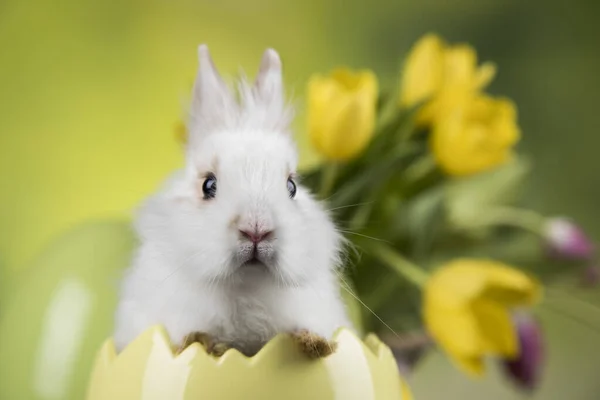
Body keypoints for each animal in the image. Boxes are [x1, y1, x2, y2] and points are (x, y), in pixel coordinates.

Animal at [112, 44, 352, 356]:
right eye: (208, 185)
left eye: (292, 186)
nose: (257, 230)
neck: (246, 287)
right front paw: (201, 341)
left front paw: (315, 344)